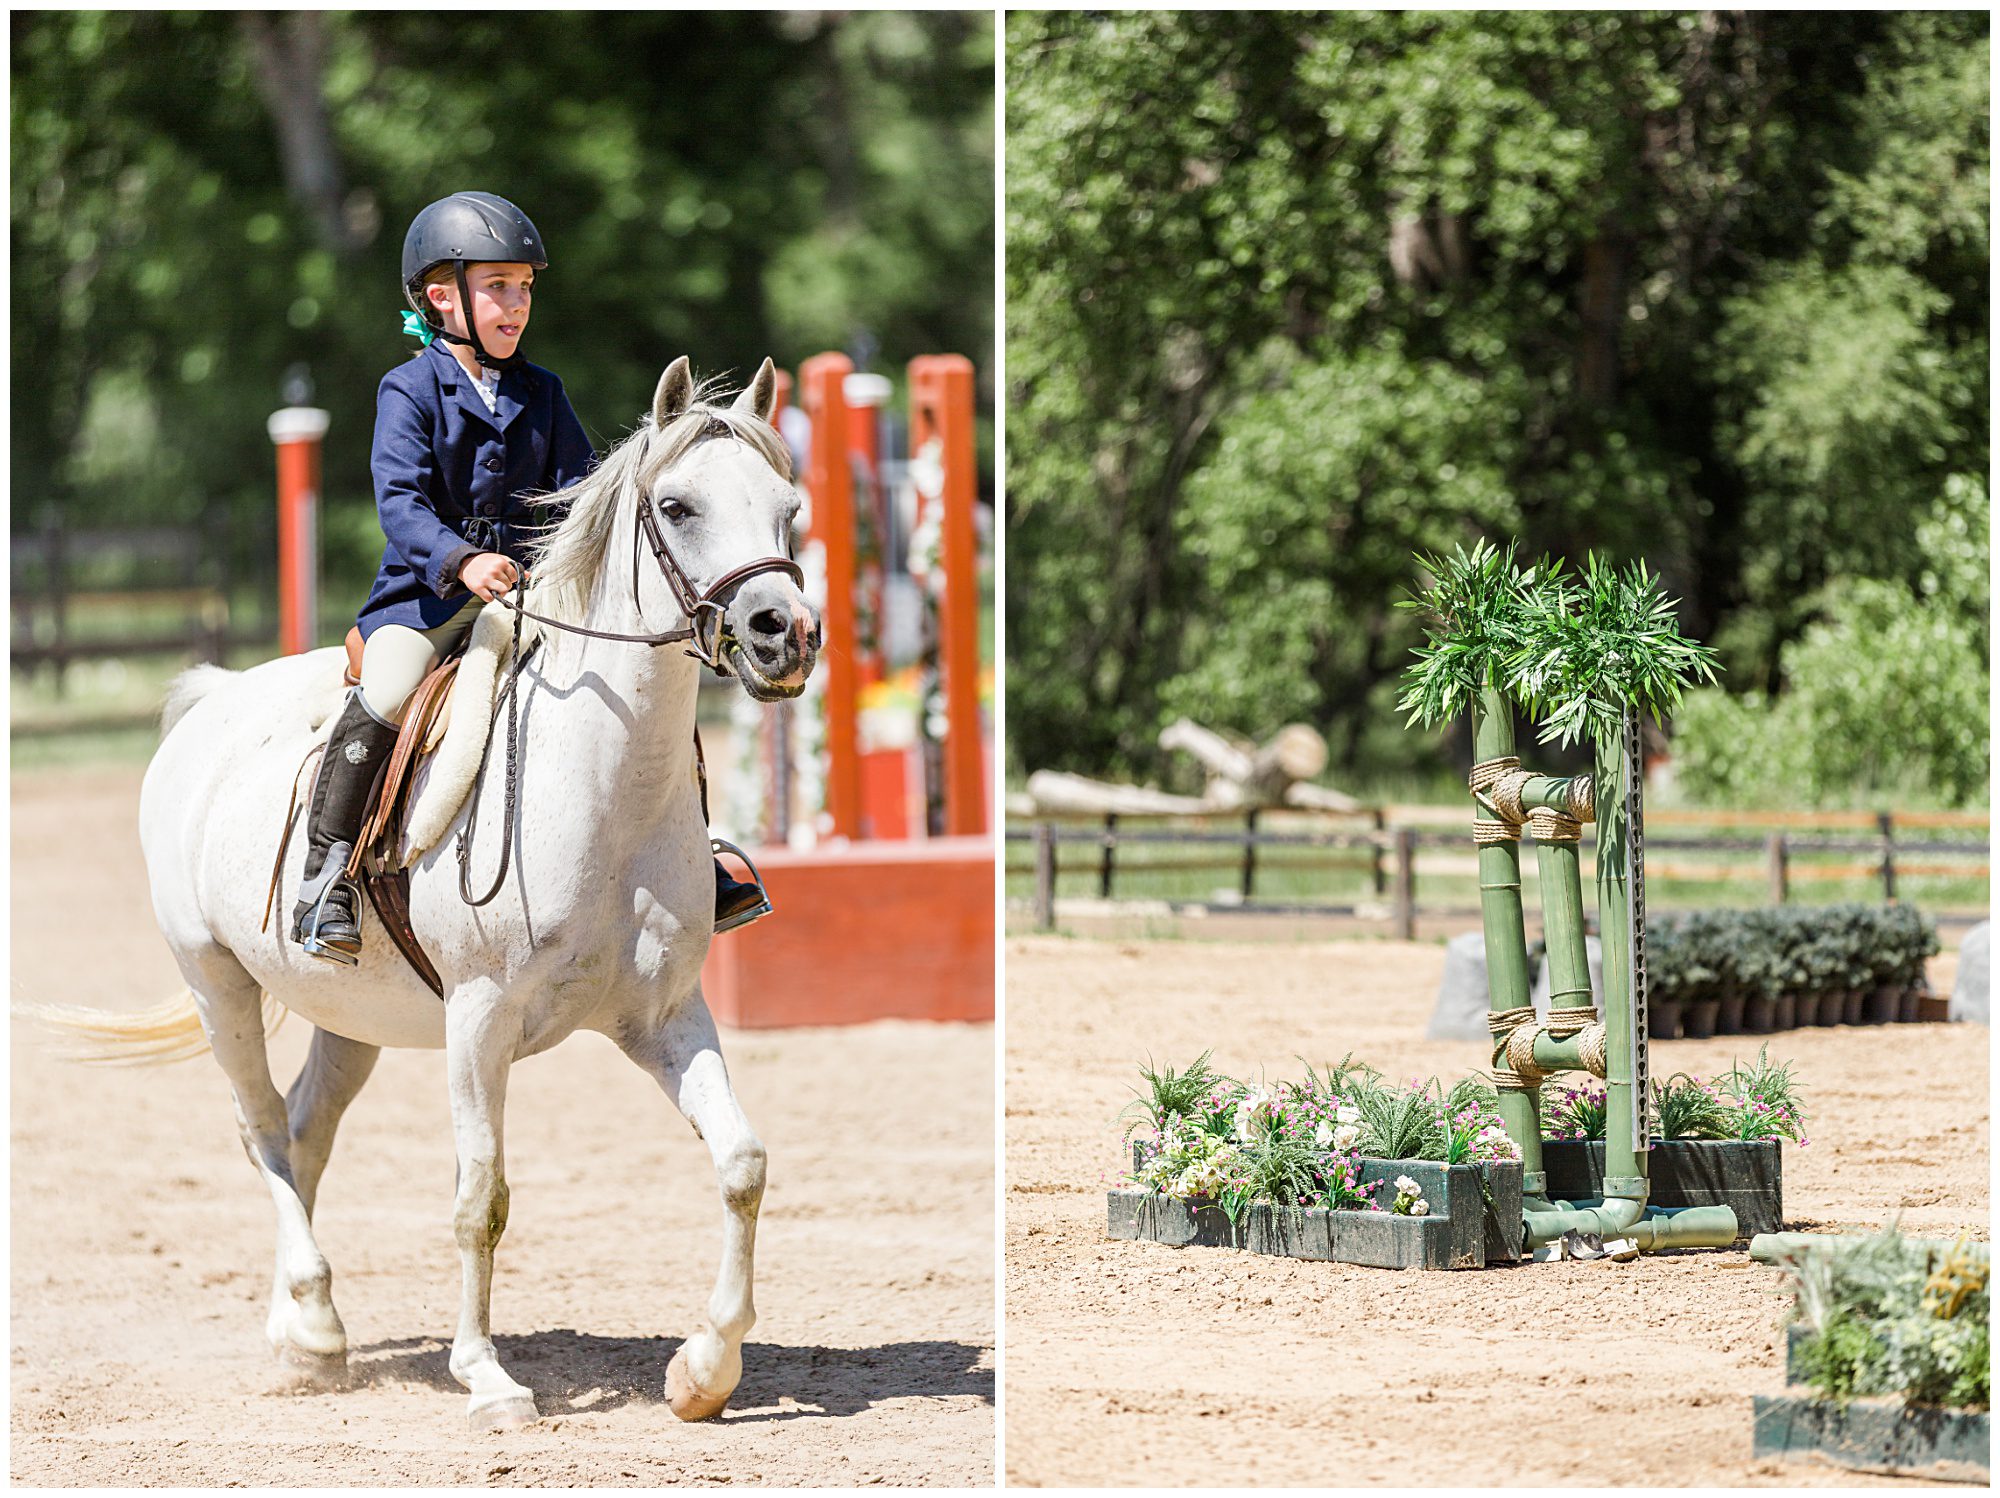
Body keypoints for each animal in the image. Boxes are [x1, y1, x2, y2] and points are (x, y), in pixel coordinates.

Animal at [35, 354, 812, 1424]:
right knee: (261, 1130)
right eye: (678, 506)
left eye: (788, 509)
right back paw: (315, 1321)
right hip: (216, 983)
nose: (785, 636)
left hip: (349, 1014)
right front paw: (486, 1378)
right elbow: (481, 1197)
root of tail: (216, 698)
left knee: (306, 1132)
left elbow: (742, 1164)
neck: (603, 782)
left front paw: (705, 1369)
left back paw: (302, 1331)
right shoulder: (479, 1021)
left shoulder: (663, 1015)